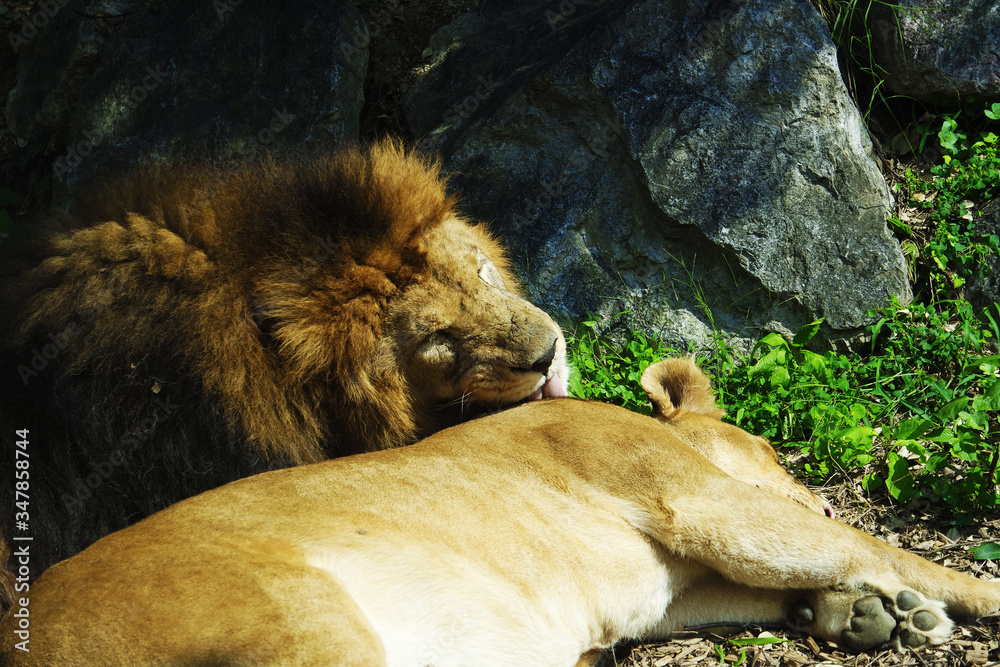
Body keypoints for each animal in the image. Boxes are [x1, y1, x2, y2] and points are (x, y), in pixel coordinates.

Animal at [2, 358, 996, 666]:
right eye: (773, 449)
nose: (812, 482)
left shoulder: (673, 590)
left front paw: (869, 614)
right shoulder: (700, 500)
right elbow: (876, 543)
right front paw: (959, 592)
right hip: (293, 617)